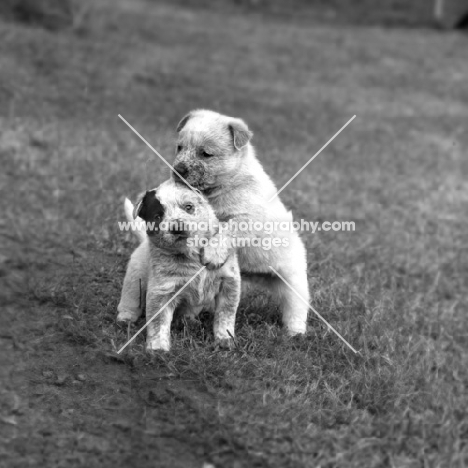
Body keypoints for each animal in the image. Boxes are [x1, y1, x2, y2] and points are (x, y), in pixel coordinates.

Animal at [117, 179, 241, 352]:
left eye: (188, 207)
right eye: (157, 216)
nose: (177, 227)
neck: (192, 254)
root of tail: (142, 244)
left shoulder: (229, 282)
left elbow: (225, 314)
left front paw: (225, 339)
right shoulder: (161, 290)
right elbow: (158, 322)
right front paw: (157, 347)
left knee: (187, 311)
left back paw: (189, 321)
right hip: (135, 278)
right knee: (130, 299)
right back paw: (125, 319)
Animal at [119, 109, 308, 336]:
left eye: (205, 154)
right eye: (179, 147)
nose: (178, 169)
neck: (225, 184)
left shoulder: (246, 218)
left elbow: (225, 233)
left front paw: (212, 254)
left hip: (293, 282)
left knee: (296, 307)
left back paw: (295, 331)